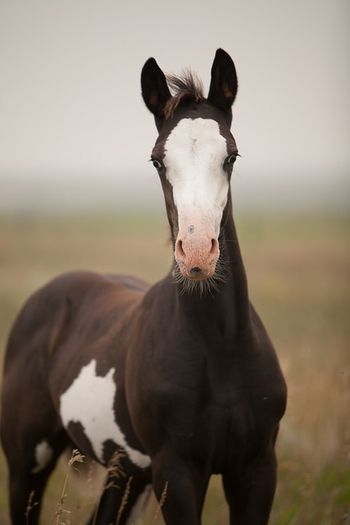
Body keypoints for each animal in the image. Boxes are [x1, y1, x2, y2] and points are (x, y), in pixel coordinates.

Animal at [0, 49, 288, 524]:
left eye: (231, 155)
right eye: (157, 160)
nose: (197, 253)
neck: (221, 349)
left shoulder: (257, 469)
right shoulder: (177, 472)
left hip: (127, 474)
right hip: (29, 464)